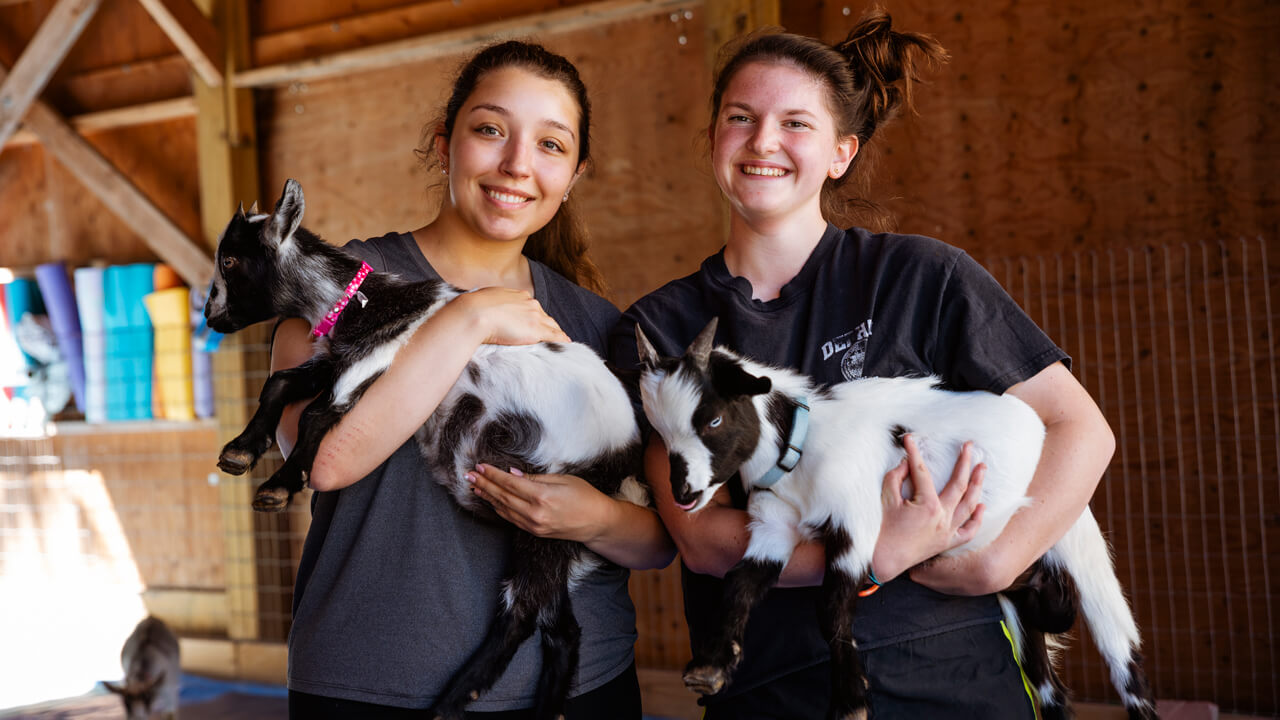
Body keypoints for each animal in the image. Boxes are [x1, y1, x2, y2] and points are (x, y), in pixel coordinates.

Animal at [203, 179, 645, 717]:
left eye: (230, 261)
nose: (211, 316)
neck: (363, 305)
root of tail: (623, 458)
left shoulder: (374, 361)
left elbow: (316, 415)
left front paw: (279, 486)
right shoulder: (338, 359)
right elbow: (280, 383)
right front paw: (241, 450)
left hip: (554, 514)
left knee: (522, 611)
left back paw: (450, 703)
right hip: (553, 535)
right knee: (559, 626)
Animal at [637, 317, 1162, 717]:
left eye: (713, 419)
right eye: (660, 433)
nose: (682, 495)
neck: (799, 446)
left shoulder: (856, 521)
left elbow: (831, 608)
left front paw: (849, 701)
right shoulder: (772, 529)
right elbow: (739, 584)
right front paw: (711, 666)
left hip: (1074, 538)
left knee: (1124, 663)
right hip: (1014, 582)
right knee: (1050, 680)